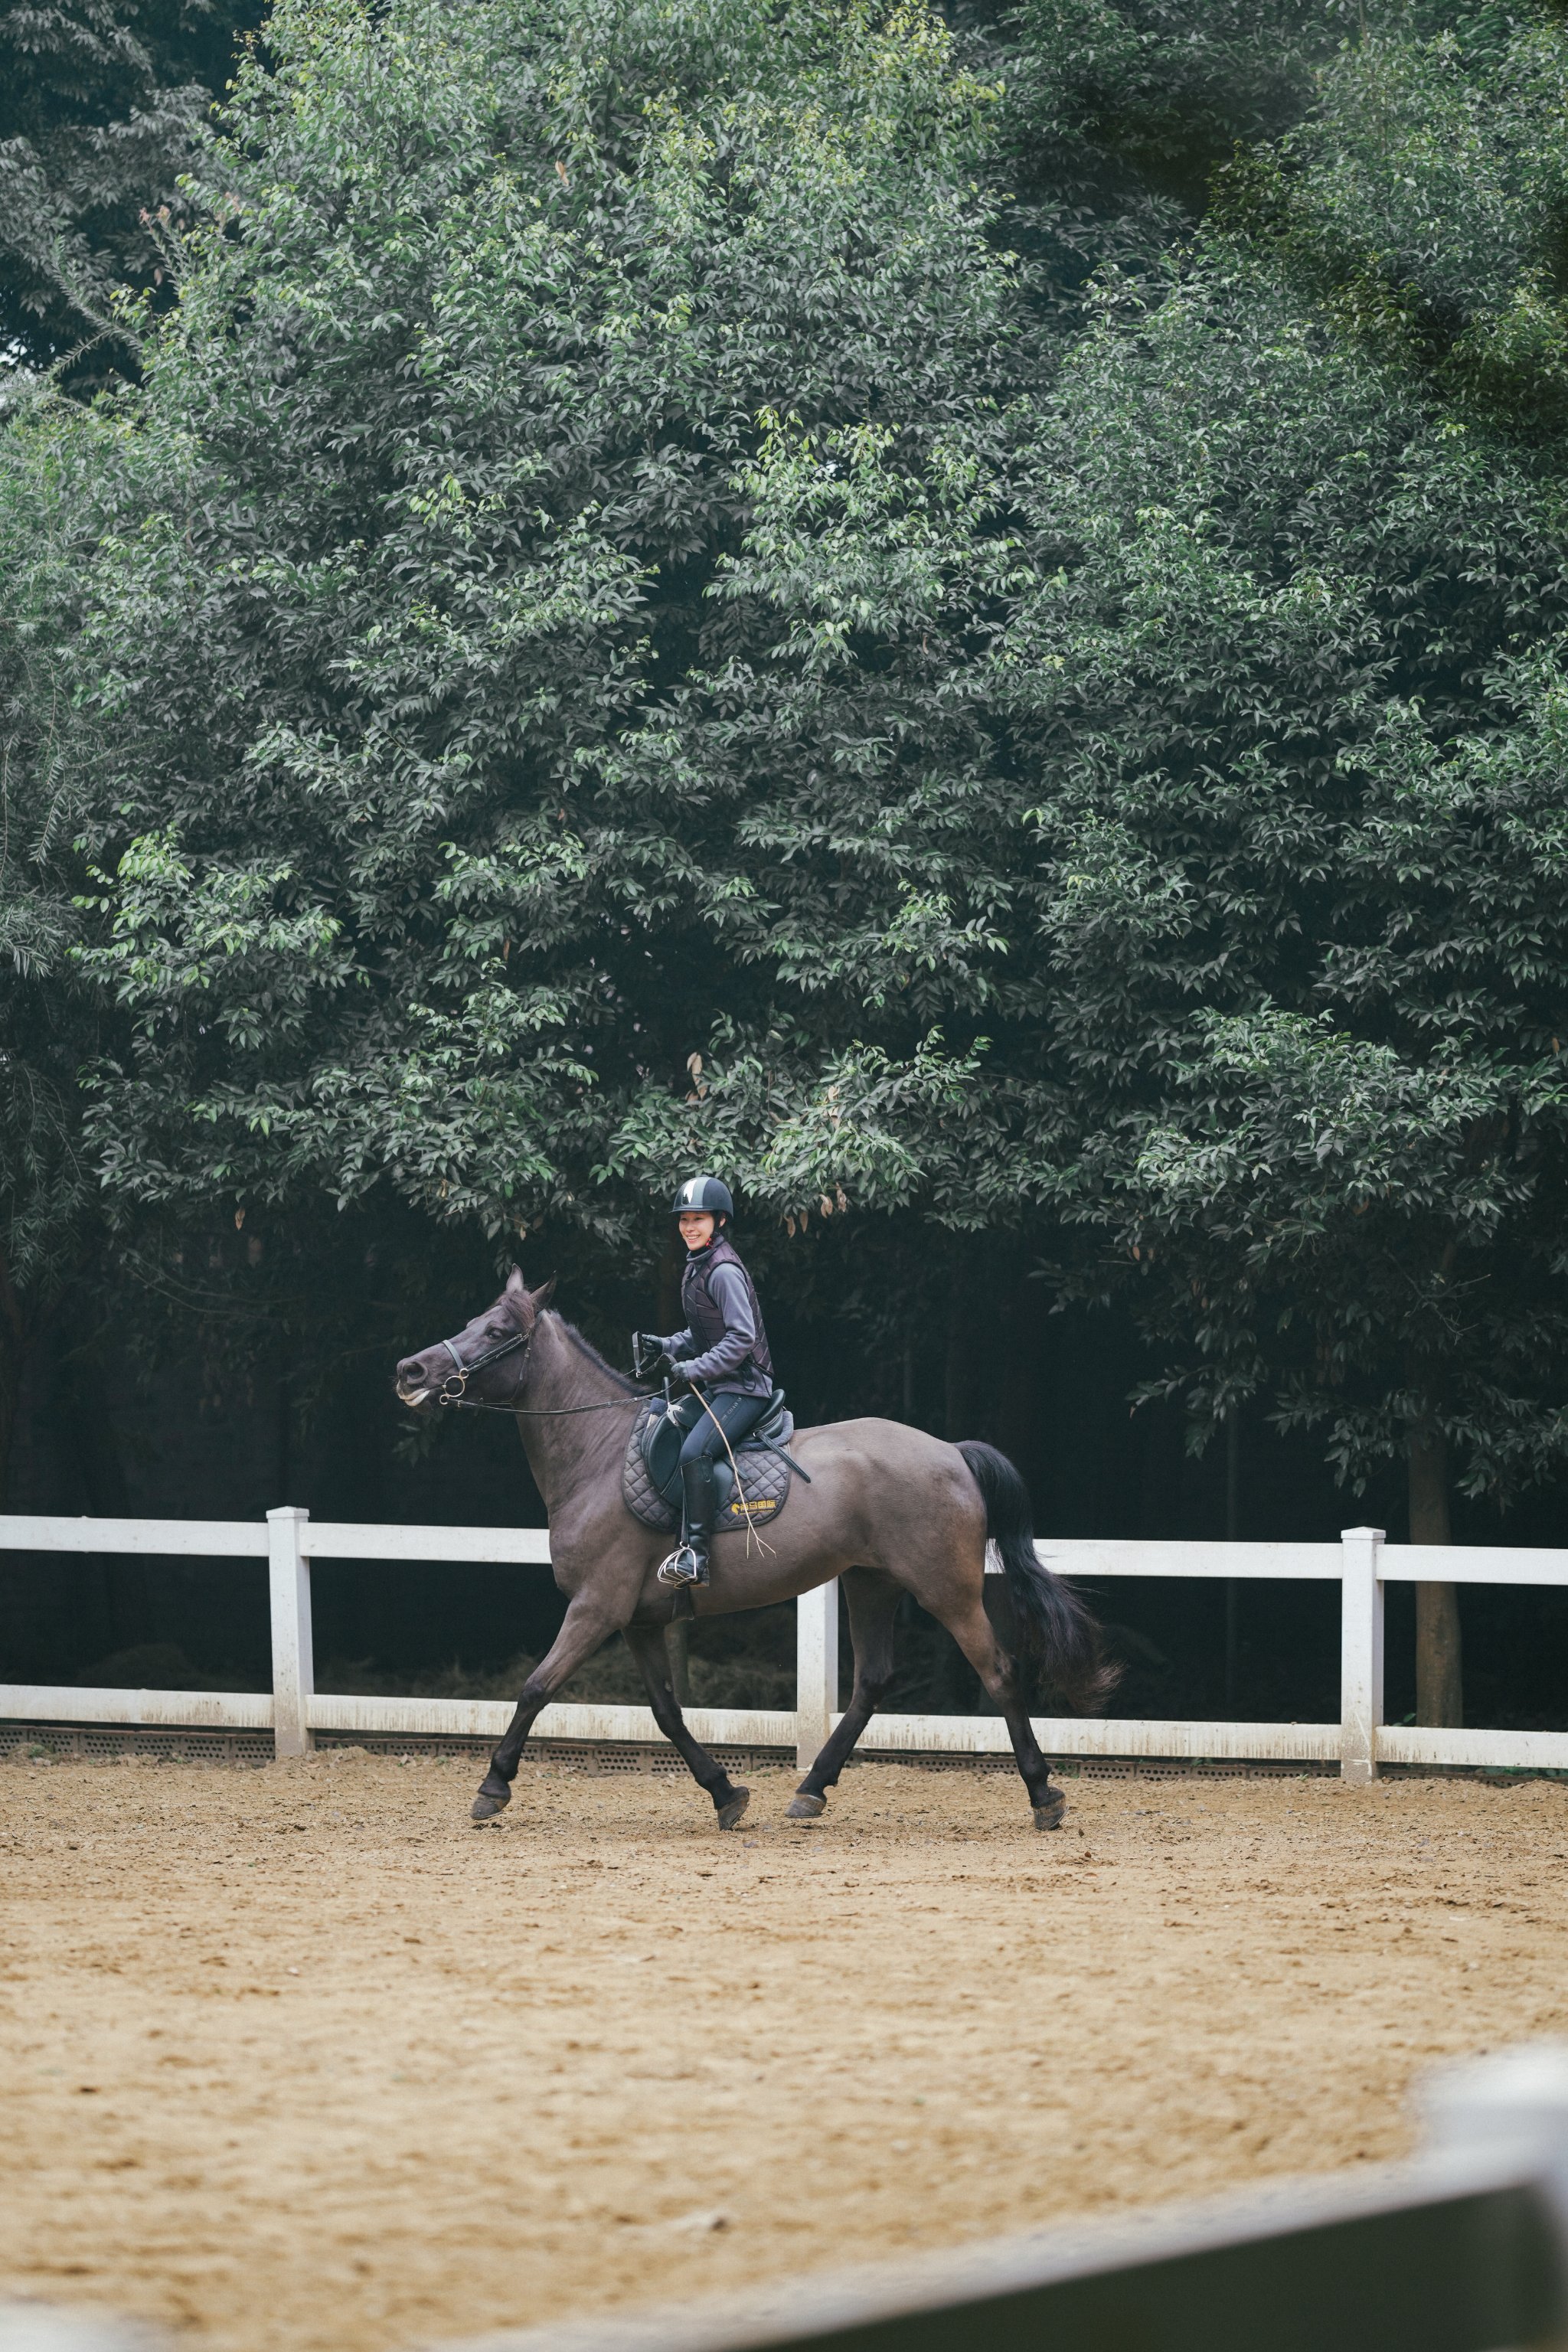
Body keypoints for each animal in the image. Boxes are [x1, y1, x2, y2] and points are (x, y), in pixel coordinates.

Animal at [390, 1269, 1114, 1834]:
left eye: (494, 1332)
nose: (410, 1371)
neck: (597, 1454)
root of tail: (952, 1453)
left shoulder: (596, 1609)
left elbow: (536, 1688)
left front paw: (493, 1787)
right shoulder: (638, 1620)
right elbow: (666, 1713)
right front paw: (726, 1793)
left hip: (947, 1590)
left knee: (1000, 1671)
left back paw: (1044, 1795)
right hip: (870, 1582)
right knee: (872, 1682)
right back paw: (811, 1790)